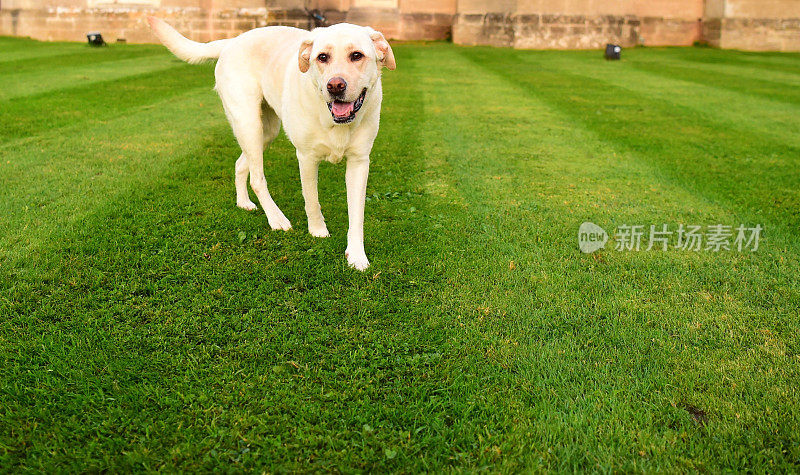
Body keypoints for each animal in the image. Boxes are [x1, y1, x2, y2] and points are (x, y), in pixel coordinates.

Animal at [148, 16, 396, 270]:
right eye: (322, 57)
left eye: (357, 55)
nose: (335, 86)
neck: (335, 121)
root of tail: (232, 40)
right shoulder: (306, 157)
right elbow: (312, 199)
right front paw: (318, 231)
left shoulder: (359, 162)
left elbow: (357, 213)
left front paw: (356, 255)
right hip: (249, 123)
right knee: (257, 178)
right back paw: (276, 218)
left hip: (265, 132)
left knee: (241, 164)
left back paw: (243, 202)